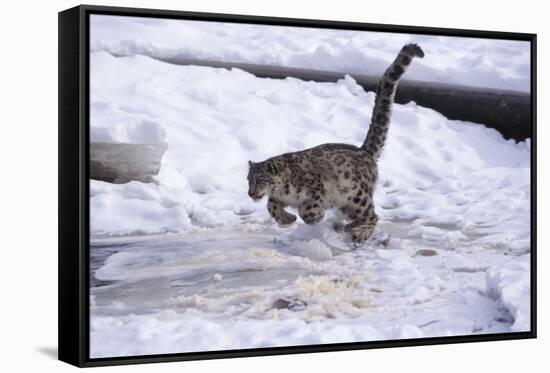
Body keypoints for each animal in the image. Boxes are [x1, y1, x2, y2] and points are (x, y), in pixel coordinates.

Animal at [248, 43, 424, 241]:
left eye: (260, 179)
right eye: (248, 179)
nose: (251, 193)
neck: (284, 192)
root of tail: (364, 151)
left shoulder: (314, 189)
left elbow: (307, 209)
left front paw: (315, 216)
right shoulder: (277, 198)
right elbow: (271, 205)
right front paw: (287, 219)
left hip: (358, 196)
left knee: (372, 215)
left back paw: (360, 232)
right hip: (348, 202)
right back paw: (348, 226)